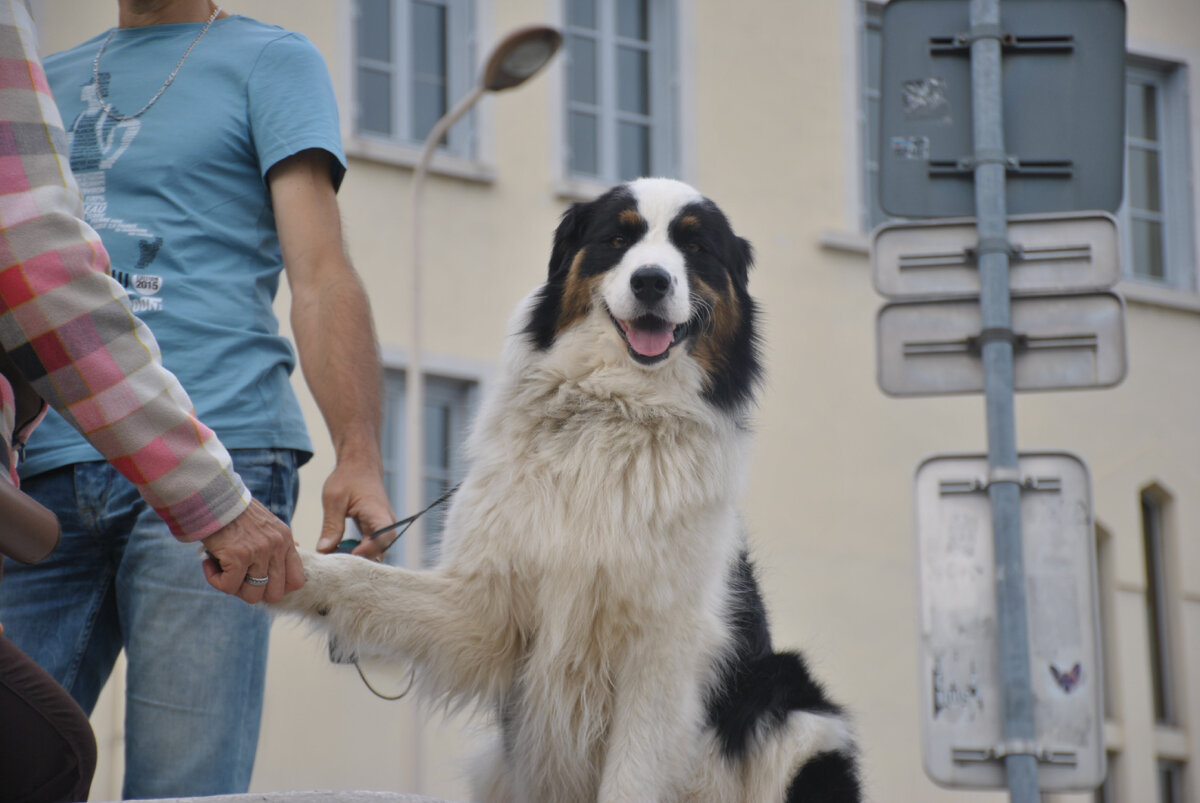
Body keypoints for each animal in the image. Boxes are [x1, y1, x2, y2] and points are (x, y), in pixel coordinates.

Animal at [278, 178, 864, 796]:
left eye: (696, 247)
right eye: (618, 238)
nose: (651, 280)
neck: (616, 410)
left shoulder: (667, 647)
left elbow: (631, 778)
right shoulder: (484, 608)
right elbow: (359, 577)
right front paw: (286, 565)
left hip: (798, 711)